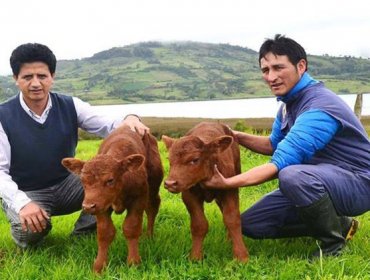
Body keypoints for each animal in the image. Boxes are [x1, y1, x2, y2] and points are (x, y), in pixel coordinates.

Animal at [62, 125, 163, 274]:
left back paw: (149, 236)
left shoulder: (138, 199)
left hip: (154, 185)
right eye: (82, 180)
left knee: (152, 207)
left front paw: (133, 263)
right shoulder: (101, 206)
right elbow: (105, 233)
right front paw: (99, 267)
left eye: (110, 180)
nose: (87, 206)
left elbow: (131, 228)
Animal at [163, 122, 247, 262]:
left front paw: (241, 255)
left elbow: (232, 219)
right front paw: (196, 257)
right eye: (170, 160)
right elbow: (199, 224)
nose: (170, 183)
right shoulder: (189, 195)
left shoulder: (230, 189)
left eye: (195, 159)